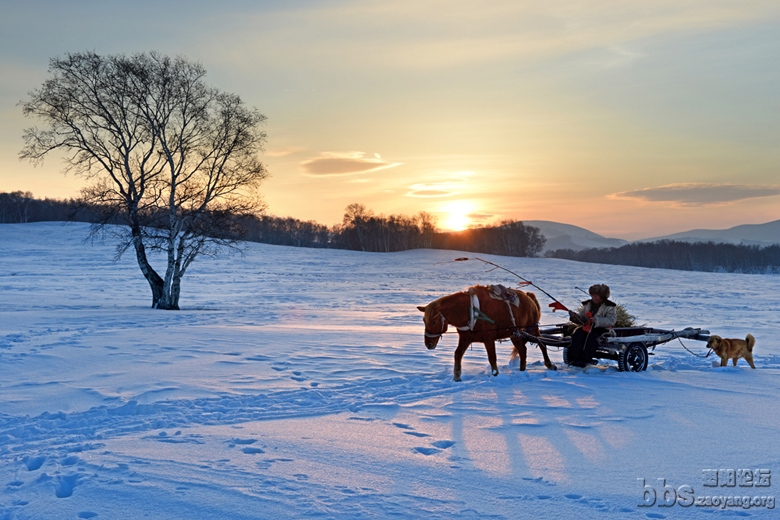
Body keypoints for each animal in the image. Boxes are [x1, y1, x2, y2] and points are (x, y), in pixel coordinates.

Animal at [418, 284, 556, 382]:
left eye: (434, 322)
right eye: (424, 320)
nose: (428, 344)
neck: (471, 311)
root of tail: (529, 297)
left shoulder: (489, 339)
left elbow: (492, 357)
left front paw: (495, 374)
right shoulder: (465, 339)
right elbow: (457, 354)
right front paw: (457, 377)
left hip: (532, 329)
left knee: (542, 345)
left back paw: (550, 365)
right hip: (515, 334)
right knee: (523, 350)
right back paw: (522, 371)